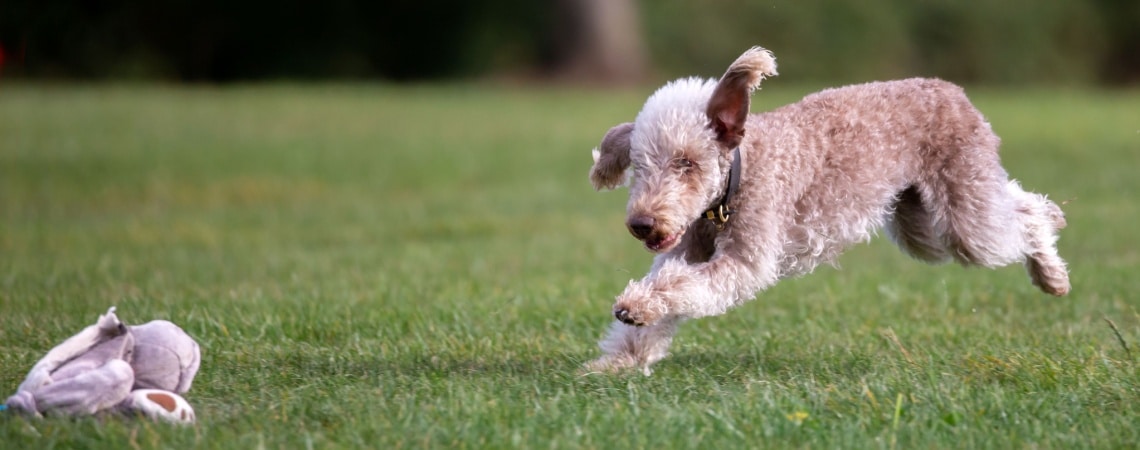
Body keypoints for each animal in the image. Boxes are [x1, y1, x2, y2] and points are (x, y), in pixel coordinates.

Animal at [588, 47, 1067, 375]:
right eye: (638, 166)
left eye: (686, 163)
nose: (641, 224)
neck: (732, 186)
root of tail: (952, 90)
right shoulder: (685, 249)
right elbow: (670, 285)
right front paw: (623, 356)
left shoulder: (746, 258)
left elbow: (681, 286)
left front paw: (636, 308)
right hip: (919, 224)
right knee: (1011, 205)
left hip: (962, 212)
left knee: (1025, 216)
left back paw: (1052, 272)